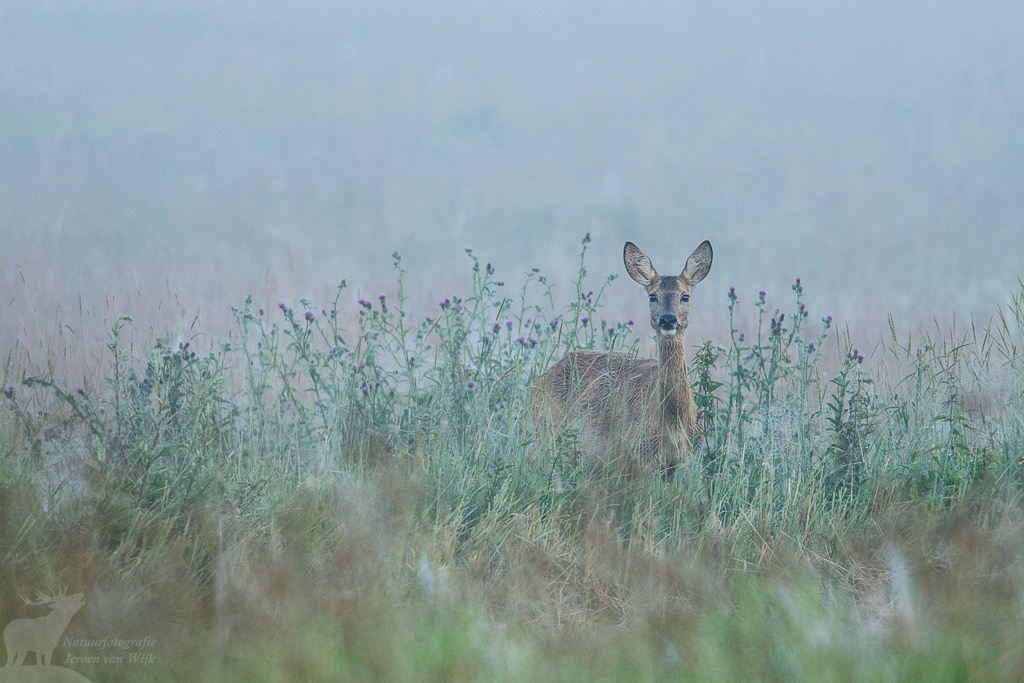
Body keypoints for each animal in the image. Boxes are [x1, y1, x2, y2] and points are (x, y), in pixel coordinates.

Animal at [532, 239, 712, 477]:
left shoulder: (686, 461)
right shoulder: (640, 454)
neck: (673, 421)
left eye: (685, 296)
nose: (668, 319)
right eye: (652, 296)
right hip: (548, 433)